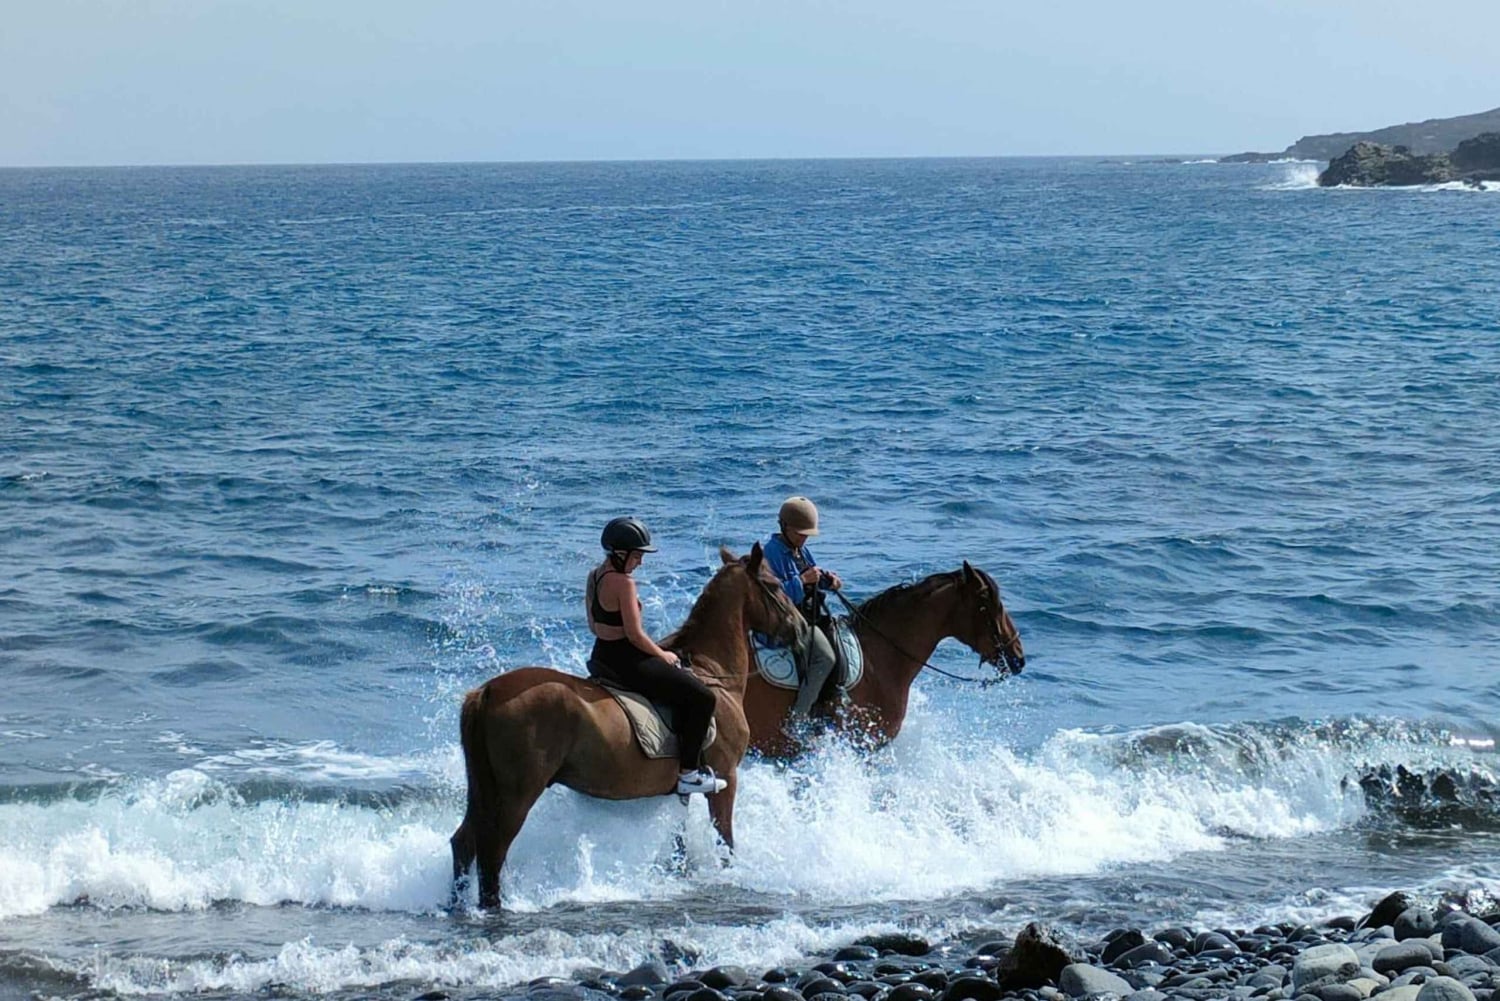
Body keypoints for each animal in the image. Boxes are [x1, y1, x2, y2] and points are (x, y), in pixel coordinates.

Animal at [449, 542, 807, 910]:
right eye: (775, 584)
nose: (802, 629)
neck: (713, 671)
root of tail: (486, 692)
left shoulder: (684, 788)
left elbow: (678, 840)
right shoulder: (726, 776)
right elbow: (726, 840)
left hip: (485, 789)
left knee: (464, 842)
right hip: (517, 793)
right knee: (493, 851)